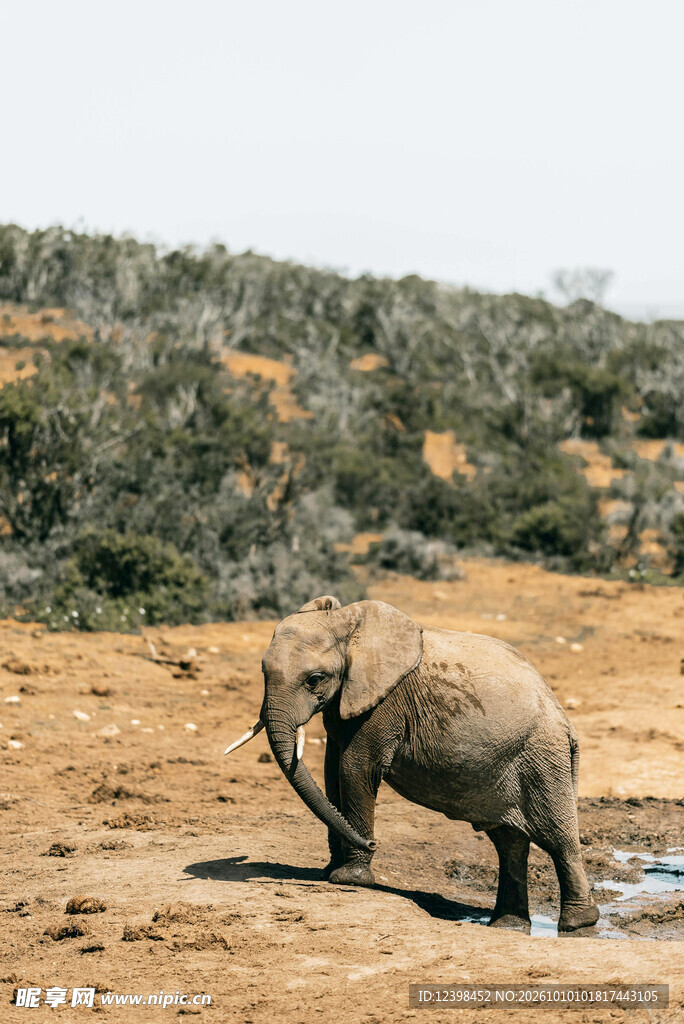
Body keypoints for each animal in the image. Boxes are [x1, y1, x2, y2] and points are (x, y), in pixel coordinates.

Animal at [225, 595, 599, 932]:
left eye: (315, 679)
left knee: (558, 837)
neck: (348, 623)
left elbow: (354, 769)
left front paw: (349, 879)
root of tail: (567, 724)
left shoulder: (386, 701)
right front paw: (329, 873)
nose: (373, 843)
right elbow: (331, 776)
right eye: (263, 671)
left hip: (542, 758)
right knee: (510, 843)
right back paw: (508, 926)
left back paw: (577, 925)